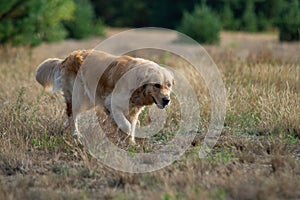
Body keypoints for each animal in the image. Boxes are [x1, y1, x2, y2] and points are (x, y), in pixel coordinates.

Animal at [36, 50, 175, 144]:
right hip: (80, 98)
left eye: (168, 85)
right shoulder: (112, 103)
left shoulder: (133, 112)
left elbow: (132, 127)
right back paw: (76, 135)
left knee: (70, 116)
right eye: (157, 85)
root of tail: (68, 57)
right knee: (73, 115)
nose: (166, 100)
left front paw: (131, 143)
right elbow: (126, 126)